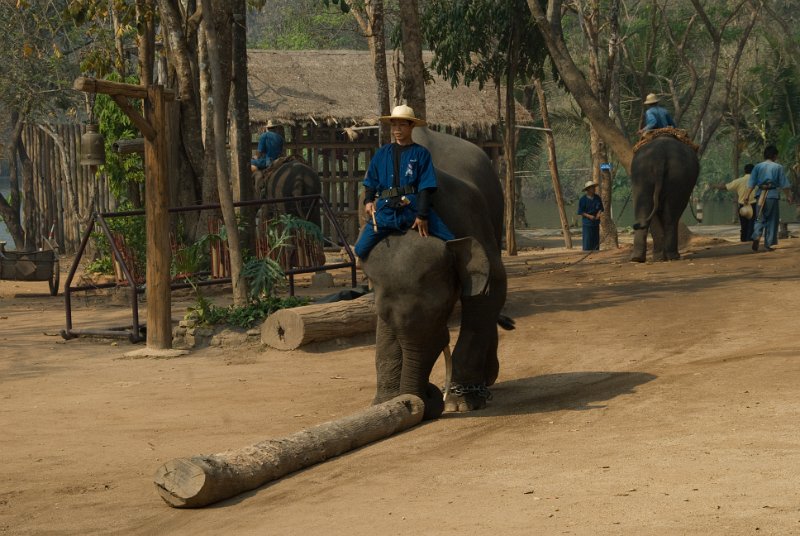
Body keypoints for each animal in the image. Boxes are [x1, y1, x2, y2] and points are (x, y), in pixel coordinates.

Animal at [360, 127, 510, 420]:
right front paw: (384, 402)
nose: (428, 395)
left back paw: (487, 380)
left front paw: (460, 403)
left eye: (441, 312)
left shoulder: (470, 219)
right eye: (385, 315)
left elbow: (489, 291)